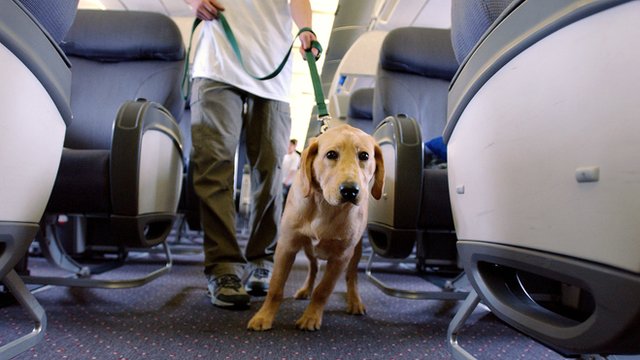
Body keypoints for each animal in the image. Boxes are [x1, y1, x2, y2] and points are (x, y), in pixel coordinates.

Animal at [248, 124, 382, 332]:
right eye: (331, 154)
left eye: (364, 156)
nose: (350, 191)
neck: (325, 206)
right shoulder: (287, 246)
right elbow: (276, 287)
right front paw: (264, 316)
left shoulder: (341, 257)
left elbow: (323, 290)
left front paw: (311, 317)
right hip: (308, 248)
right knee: (313, 267)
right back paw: (305, 289)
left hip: (356, 250)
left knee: (351, 276)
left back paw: (354, 300)